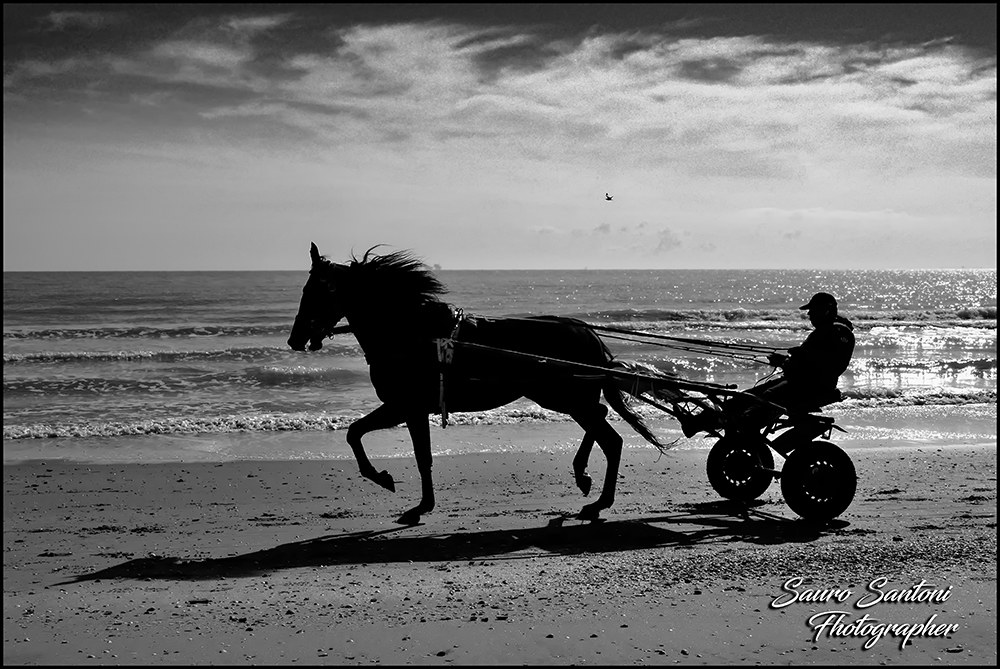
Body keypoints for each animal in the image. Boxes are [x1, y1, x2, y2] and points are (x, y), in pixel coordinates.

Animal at [287, 242, 668, 524]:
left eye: (314, 290)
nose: (295, 339)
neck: (412, 334)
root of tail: (589, 334)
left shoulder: (405, 406)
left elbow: (379, 442)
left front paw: (394, 486)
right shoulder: (408, 408)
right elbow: (383, 443)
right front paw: (413, 498)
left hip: (563, 398)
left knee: (611, 439)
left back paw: (597, 501)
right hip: (566, 399)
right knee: (601, 419)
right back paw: (583, 477)